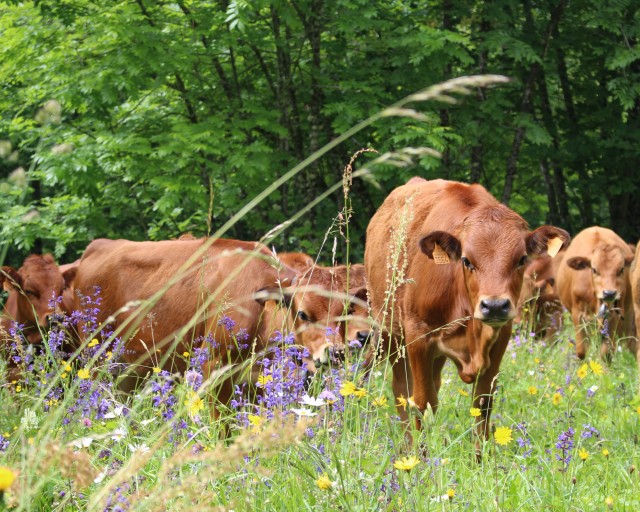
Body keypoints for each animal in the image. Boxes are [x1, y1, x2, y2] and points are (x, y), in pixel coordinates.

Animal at [362, 179, 568, 444]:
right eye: (466, 260)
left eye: (522, 259)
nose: (494, 306)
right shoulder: (418, 337)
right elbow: (420, 403)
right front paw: (421, 455)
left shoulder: (500, 338)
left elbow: (482, 406)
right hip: (390, 334)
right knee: (402, 392)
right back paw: (407, 447)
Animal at [556, 226, 636, 362]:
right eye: (594, 269)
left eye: (621, 270)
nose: (609, 293)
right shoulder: (578, 315)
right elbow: (581, 351)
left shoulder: (613, 317)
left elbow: (606, 354)